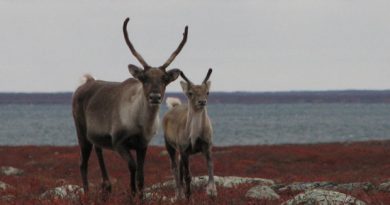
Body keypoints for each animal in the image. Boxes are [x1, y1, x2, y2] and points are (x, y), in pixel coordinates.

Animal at [73, 18, 189, 197]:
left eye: (164, 79)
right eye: (144, 78)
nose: (155, 97)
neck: (140, 123)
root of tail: (85, 83)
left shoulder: (143, 144)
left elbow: (141, 174)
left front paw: (140, 196)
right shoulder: (118, 142)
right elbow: (132, 166)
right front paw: (132, 194)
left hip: (96, 136)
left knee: (98, 150)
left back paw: (106, 186)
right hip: (81, 131)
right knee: (82, 163)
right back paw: (87, 194)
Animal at [161, 69, 216, 199]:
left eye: (207, 92)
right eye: (190, 93)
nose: (202, 101)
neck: (195, 136)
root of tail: (174, 106)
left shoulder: (207, 146)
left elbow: (210, 169)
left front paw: (212, 191)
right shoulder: (184, 149)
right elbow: (188, 176)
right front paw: (189, 196)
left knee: (179, 166)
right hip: (169, 144)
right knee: (174, 167)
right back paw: (178, 194)